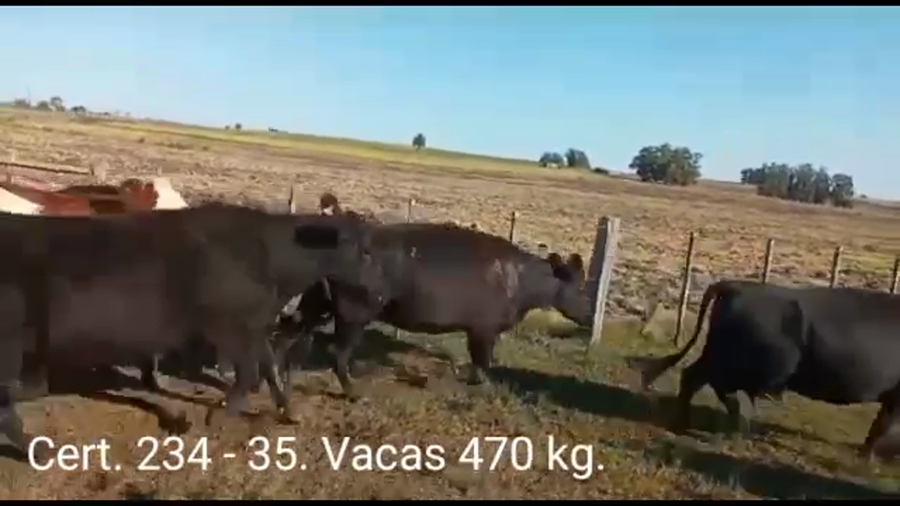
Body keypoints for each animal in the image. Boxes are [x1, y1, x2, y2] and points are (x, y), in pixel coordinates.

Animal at [0, 203, 379, 460]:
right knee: (6, 405)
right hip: (10, 346)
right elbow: (247, 374)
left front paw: (290, 411)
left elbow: (268, 365)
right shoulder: (230, 327)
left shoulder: (254, 325)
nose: (377, 295)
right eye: (365, 251)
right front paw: (212, 418)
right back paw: (40, 450)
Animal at [275, 221, 594, 398]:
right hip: (354, 313)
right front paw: (482, 384)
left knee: (286, 335)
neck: (522, 281)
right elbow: (483, 359)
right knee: (336, 353)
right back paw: (355, 393)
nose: (591, 315)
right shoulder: (484, 329)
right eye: (580, 286)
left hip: (317, 302)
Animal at [626, 279, 900, 461]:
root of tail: (737, 285)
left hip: (718, 356)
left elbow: (880, 423)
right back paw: (730, 428)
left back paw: (689, 424)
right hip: (735, 365)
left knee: (694, 377)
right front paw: (867, 457)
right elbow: (882, 425)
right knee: (711, 384)